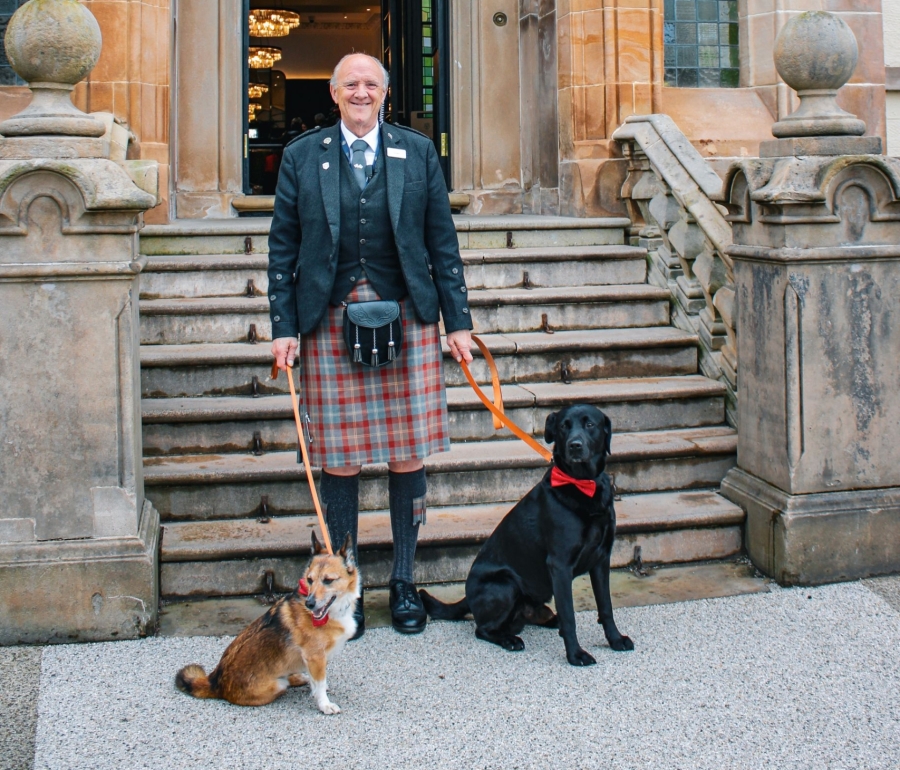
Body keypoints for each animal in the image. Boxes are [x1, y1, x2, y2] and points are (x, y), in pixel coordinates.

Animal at [176, 532, 358, 712]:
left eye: (328, 580)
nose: (310, 604)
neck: (333, 611)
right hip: (278, 684)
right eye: (310, 580)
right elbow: (319, 685)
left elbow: (318, 682)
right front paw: (325, 705)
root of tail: (215, 683)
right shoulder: (315, 656)